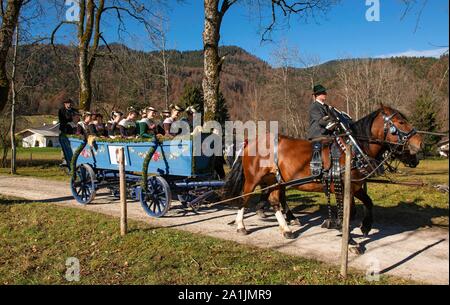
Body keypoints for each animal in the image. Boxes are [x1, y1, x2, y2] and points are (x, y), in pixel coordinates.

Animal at [223, 104, 424, 238]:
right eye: (400, 121)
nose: (420, 143)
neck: (352, 148)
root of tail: (250, 141)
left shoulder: (355, 186)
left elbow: (368, 202)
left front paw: (365, 226)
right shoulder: (343, 187)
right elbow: (346, 212)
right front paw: (346, 234)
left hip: (275, 180)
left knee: (274, 201)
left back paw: (286, 229)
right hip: (253, 179)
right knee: (244, 198)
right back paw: (241, 226)